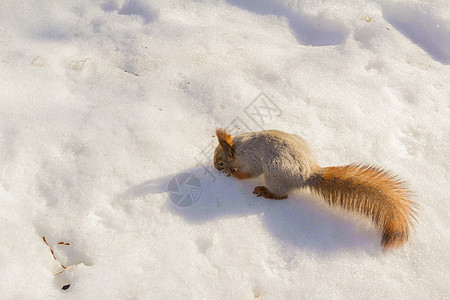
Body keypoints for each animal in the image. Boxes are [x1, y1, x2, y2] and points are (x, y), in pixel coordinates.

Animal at [213, 127, 416, 250]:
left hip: (275, 174)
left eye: (221, 162)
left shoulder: (250, 160)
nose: (215, 167)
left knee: (282, 196)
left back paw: (265, 192)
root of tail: (309, 174)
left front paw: (233, 174)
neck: (238, 147)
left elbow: (248, 173)